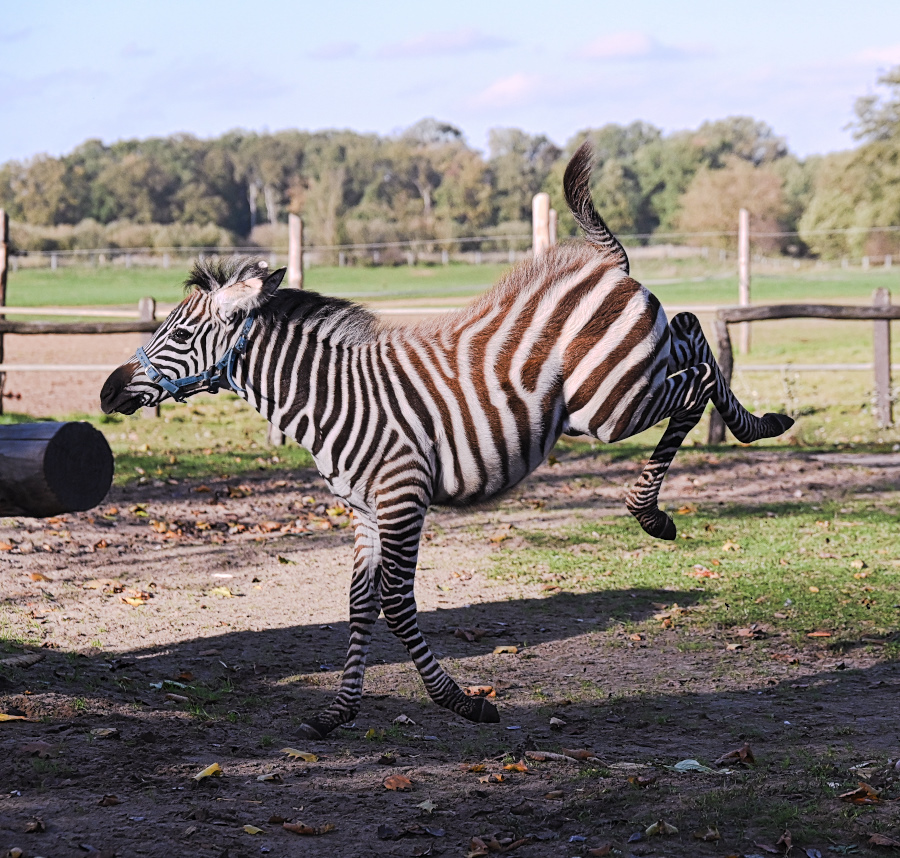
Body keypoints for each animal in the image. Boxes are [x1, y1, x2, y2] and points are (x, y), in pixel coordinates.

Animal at [98, 140, 792, 736]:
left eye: (181, 334)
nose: (107, 393)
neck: (332, 396)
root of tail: (603, 264)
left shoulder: (403, 497)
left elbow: (397, 604)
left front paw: (461, 702)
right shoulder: (365, 510)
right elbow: (359, 602)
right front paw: (338, 713)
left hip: (613, 403)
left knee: (697, 378)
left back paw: (654, 507)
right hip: (631, 374)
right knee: (693, 330)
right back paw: (761, 425)